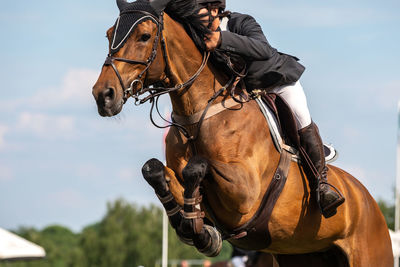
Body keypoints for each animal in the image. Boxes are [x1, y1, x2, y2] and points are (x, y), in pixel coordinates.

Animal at [91, 1, 394, 266]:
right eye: (108, 34)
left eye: (144, 36)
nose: (103, 95)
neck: (197, 116)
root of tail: (370, 202)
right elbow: (155, 170)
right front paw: (195, 228)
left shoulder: (244, 192)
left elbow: (197, 166)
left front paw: (199, 230)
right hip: (303, 254)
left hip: (371, 252)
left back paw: (327, 194)